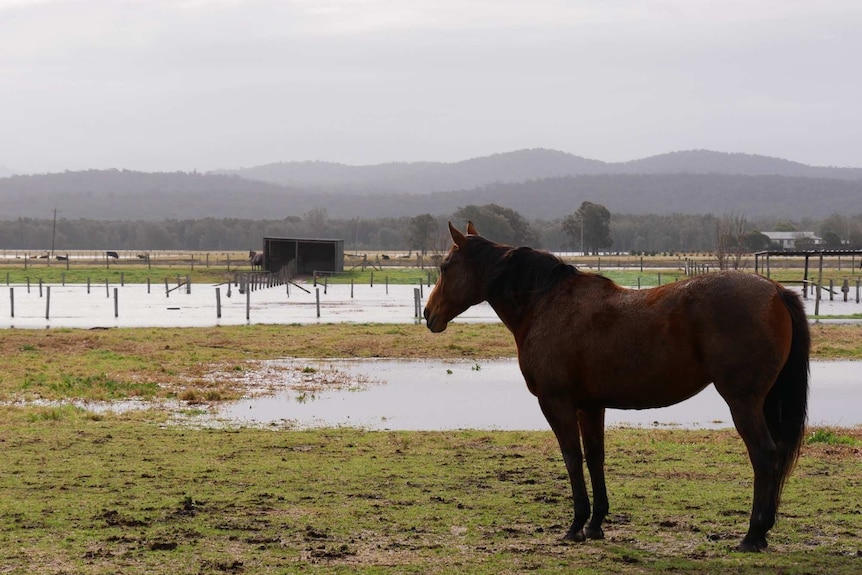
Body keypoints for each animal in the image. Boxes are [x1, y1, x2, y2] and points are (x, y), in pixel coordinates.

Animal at [426, 222, 808, 552]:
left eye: (445, 266)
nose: (429, 315)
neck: (546, 304)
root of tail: (775, 290)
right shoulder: (590, 405)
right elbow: (596, 457)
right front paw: (596, 524)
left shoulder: (557, 403)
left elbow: (572, 457)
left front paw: (575, 526)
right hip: (760, 402)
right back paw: (762, 532)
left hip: (742, 401)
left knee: (765, 455)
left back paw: (753, 535)